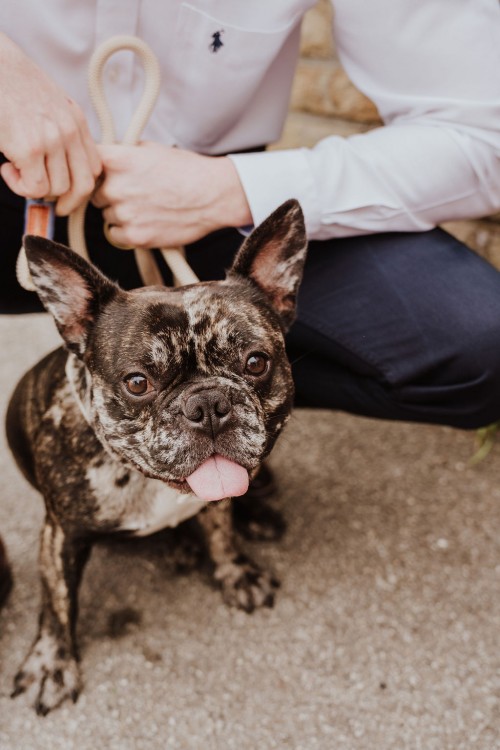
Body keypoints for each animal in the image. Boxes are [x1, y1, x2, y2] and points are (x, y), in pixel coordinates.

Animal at [5, 199, 308, 715]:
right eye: (137, 382)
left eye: (255, 362)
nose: (207, 404)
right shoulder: (60, 534)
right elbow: (57, 602)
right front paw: (52, 662)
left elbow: (221, 531)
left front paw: (235, 571)